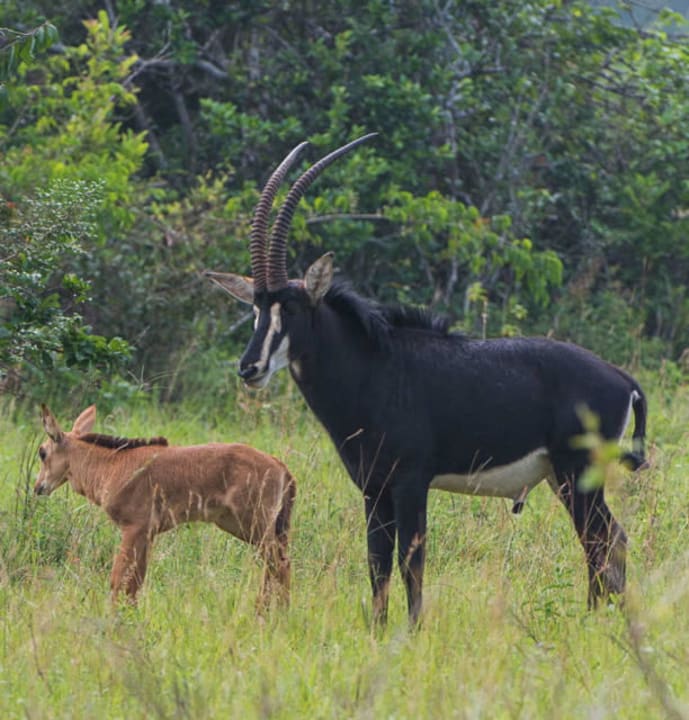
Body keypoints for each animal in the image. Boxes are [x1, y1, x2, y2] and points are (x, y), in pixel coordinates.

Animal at [34, 404, 296, 607]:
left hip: (255, 523)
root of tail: (281, 467)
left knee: (280, 563)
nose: (38, 487)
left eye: (42, 452)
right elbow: (135, 581)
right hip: (249, 527)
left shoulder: (134, 528)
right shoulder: (147, 534)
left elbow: (119, 579)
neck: (111, 465)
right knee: (275, 564)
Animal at [205, 135, 647, 626]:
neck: (372, 367)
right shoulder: (374, 489)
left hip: (578, 471)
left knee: (604, 540)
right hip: (562, 475)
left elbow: (410, 559)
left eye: (294, 309)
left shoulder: (411, 482)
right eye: (256, 309)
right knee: (606, 540)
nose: (250, 368)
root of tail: (621, 378)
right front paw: (378, 630)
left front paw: (413, 629)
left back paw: (596, 619)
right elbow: (377, 561)